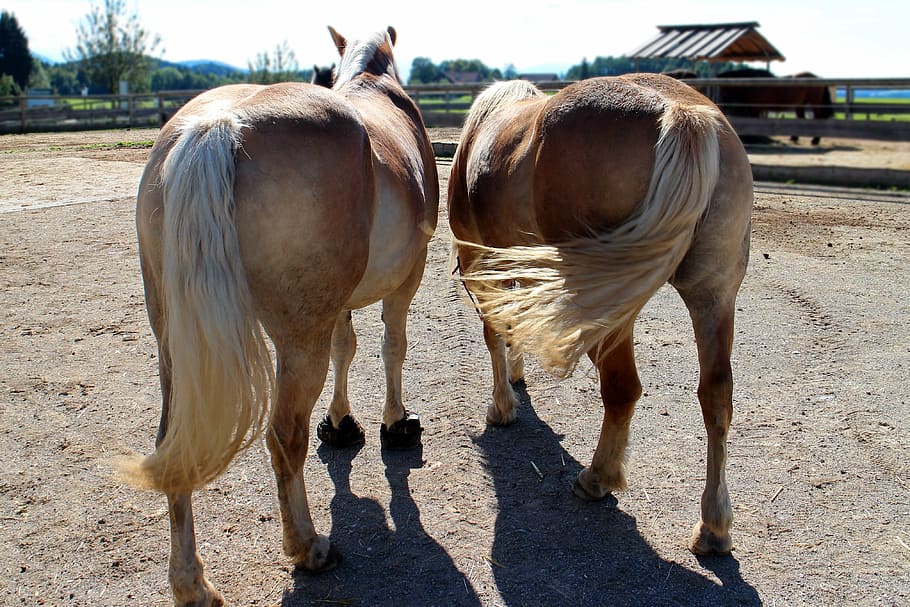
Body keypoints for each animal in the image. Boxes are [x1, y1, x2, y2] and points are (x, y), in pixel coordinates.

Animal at [125, 26, 438, 606]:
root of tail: (218, 125)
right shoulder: (408, 279)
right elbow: (392, 347)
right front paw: (394, 424)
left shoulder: (338, 306)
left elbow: (347, 349)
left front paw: (340, 424)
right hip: (296, 339)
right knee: (284, 437)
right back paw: (308, 547)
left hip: (173, 345)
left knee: (174, 443)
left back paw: (192, 584)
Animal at [448, 74, 753, 556]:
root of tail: (683, 114)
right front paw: (516, 376)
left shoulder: (477, 259)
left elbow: (495, 329)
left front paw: (502, 406)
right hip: (714, 294)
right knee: (716, 396)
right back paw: (714, 525)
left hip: (606, 303)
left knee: (622, 388)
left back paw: (597, 478)